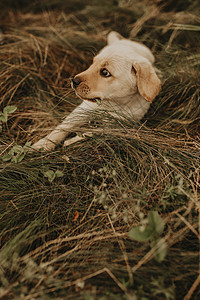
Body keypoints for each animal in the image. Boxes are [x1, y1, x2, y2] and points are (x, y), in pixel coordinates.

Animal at [32, 31, 161, 151]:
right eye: (92, 63)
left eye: (105, 72)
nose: (73, 81)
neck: (113, 103)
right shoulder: (83, 109)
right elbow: (64, 126)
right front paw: (43, 144)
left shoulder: (118, 126)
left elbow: (94, 132)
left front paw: (71, 141)